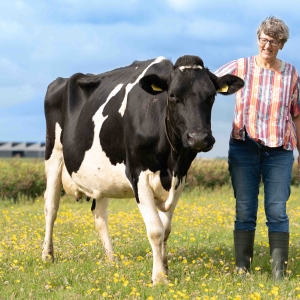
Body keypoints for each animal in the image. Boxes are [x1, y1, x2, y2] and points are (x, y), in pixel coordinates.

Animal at [42, 55, 244, 284]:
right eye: (172, 95)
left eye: (211, 96)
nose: (199, 138)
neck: (171, 161)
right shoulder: (138, 175)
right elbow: (156, 230)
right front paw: (159, 278)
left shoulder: (180, 178)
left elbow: (166, 229)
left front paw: (164, 268)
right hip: (54, 153)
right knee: (51, 206)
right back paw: (47, 255)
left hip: (100, 176)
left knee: (99, 214)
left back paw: (111, 259)